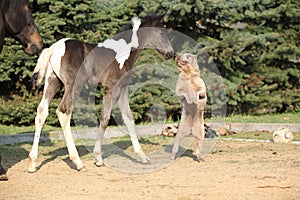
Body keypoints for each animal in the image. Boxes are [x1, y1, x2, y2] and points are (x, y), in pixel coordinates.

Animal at [28, 14, 173, 173]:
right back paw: (78, 162)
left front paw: (143, 157)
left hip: (53, 83)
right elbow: (105, 118)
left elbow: (129, 118)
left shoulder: (123, 90)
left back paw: (33, 162)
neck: (124, 52)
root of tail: (54, 48)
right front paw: (98, 158)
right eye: (162, 32)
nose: (171, 53)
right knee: (63, 111)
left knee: (42, 112)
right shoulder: (110, 88)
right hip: (74, 86)